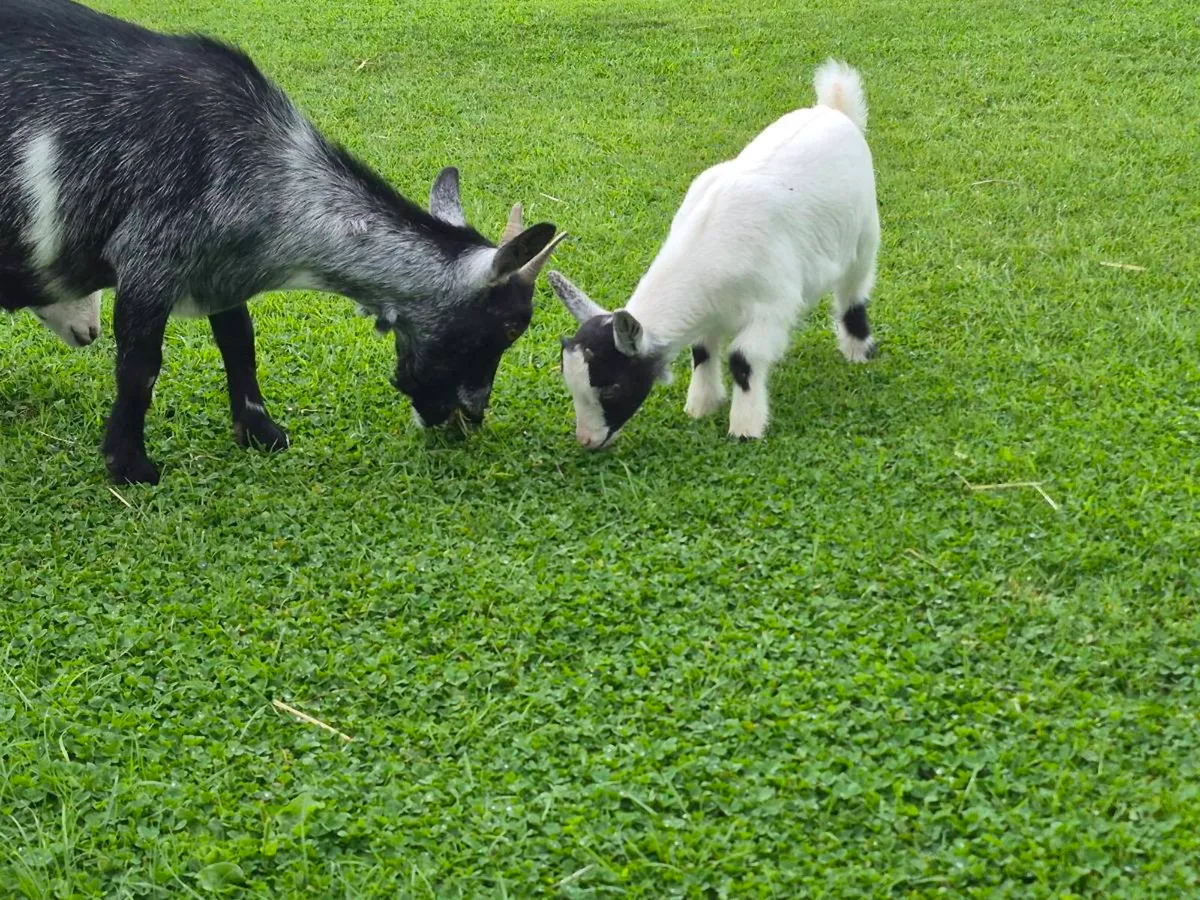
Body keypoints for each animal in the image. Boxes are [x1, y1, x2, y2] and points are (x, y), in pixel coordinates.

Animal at [0, 0, 564, 484]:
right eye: (511, 326)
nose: (470, 416)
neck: (268, 171)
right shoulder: (149, 258)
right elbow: (140, 368)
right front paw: (129, 465)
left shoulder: (217, 267)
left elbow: (239, 343)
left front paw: (260, 431)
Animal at [548, 59, 878, 449]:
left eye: (612, 388)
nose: (587, 441)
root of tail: (834, 110)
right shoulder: (707, 312)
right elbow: (702, 352)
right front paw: (701, 407)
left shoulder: (772, 307)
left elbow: (742, 360)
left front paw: (745, 428)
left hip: (864, 234)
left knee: (853, 291)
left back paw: (858, 351)